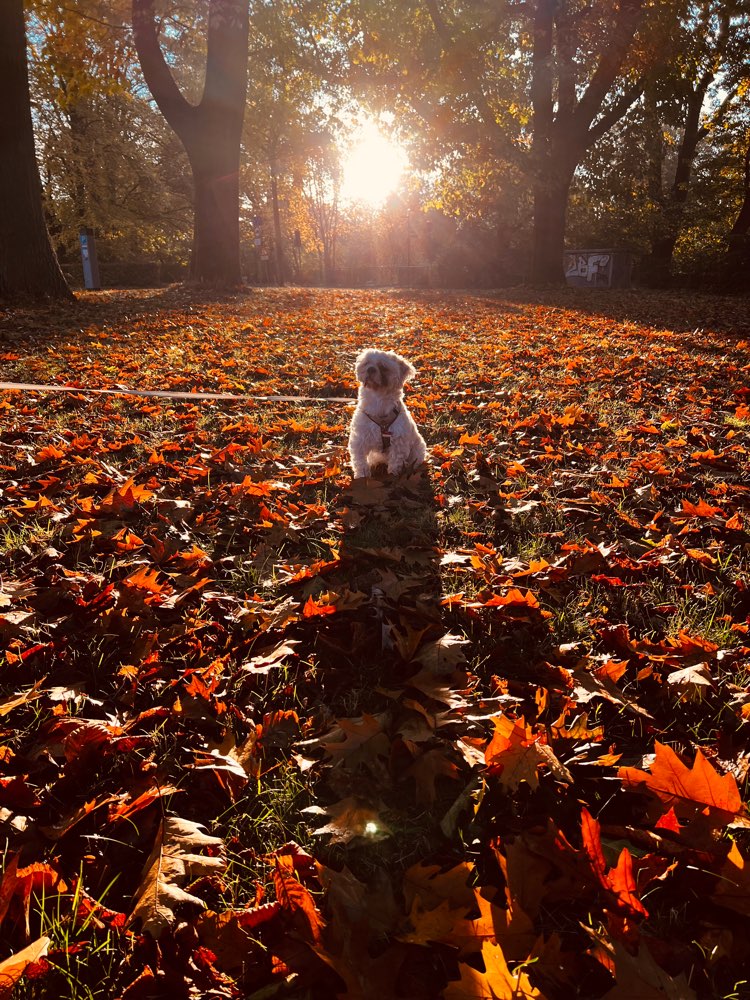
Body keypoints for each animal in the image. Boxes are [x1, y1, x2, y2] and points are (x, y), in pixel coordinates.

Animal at [348, 348, 426, 480]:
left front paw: (392, 476)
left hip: (417, 449)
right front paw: (361, 477)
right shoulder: (359, 439)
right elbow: (360, 461)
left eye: (383, 367)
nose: (370, 369)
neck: (378, 400)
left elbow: (395, 461)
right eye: (366, 363)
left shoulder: (398, 442)